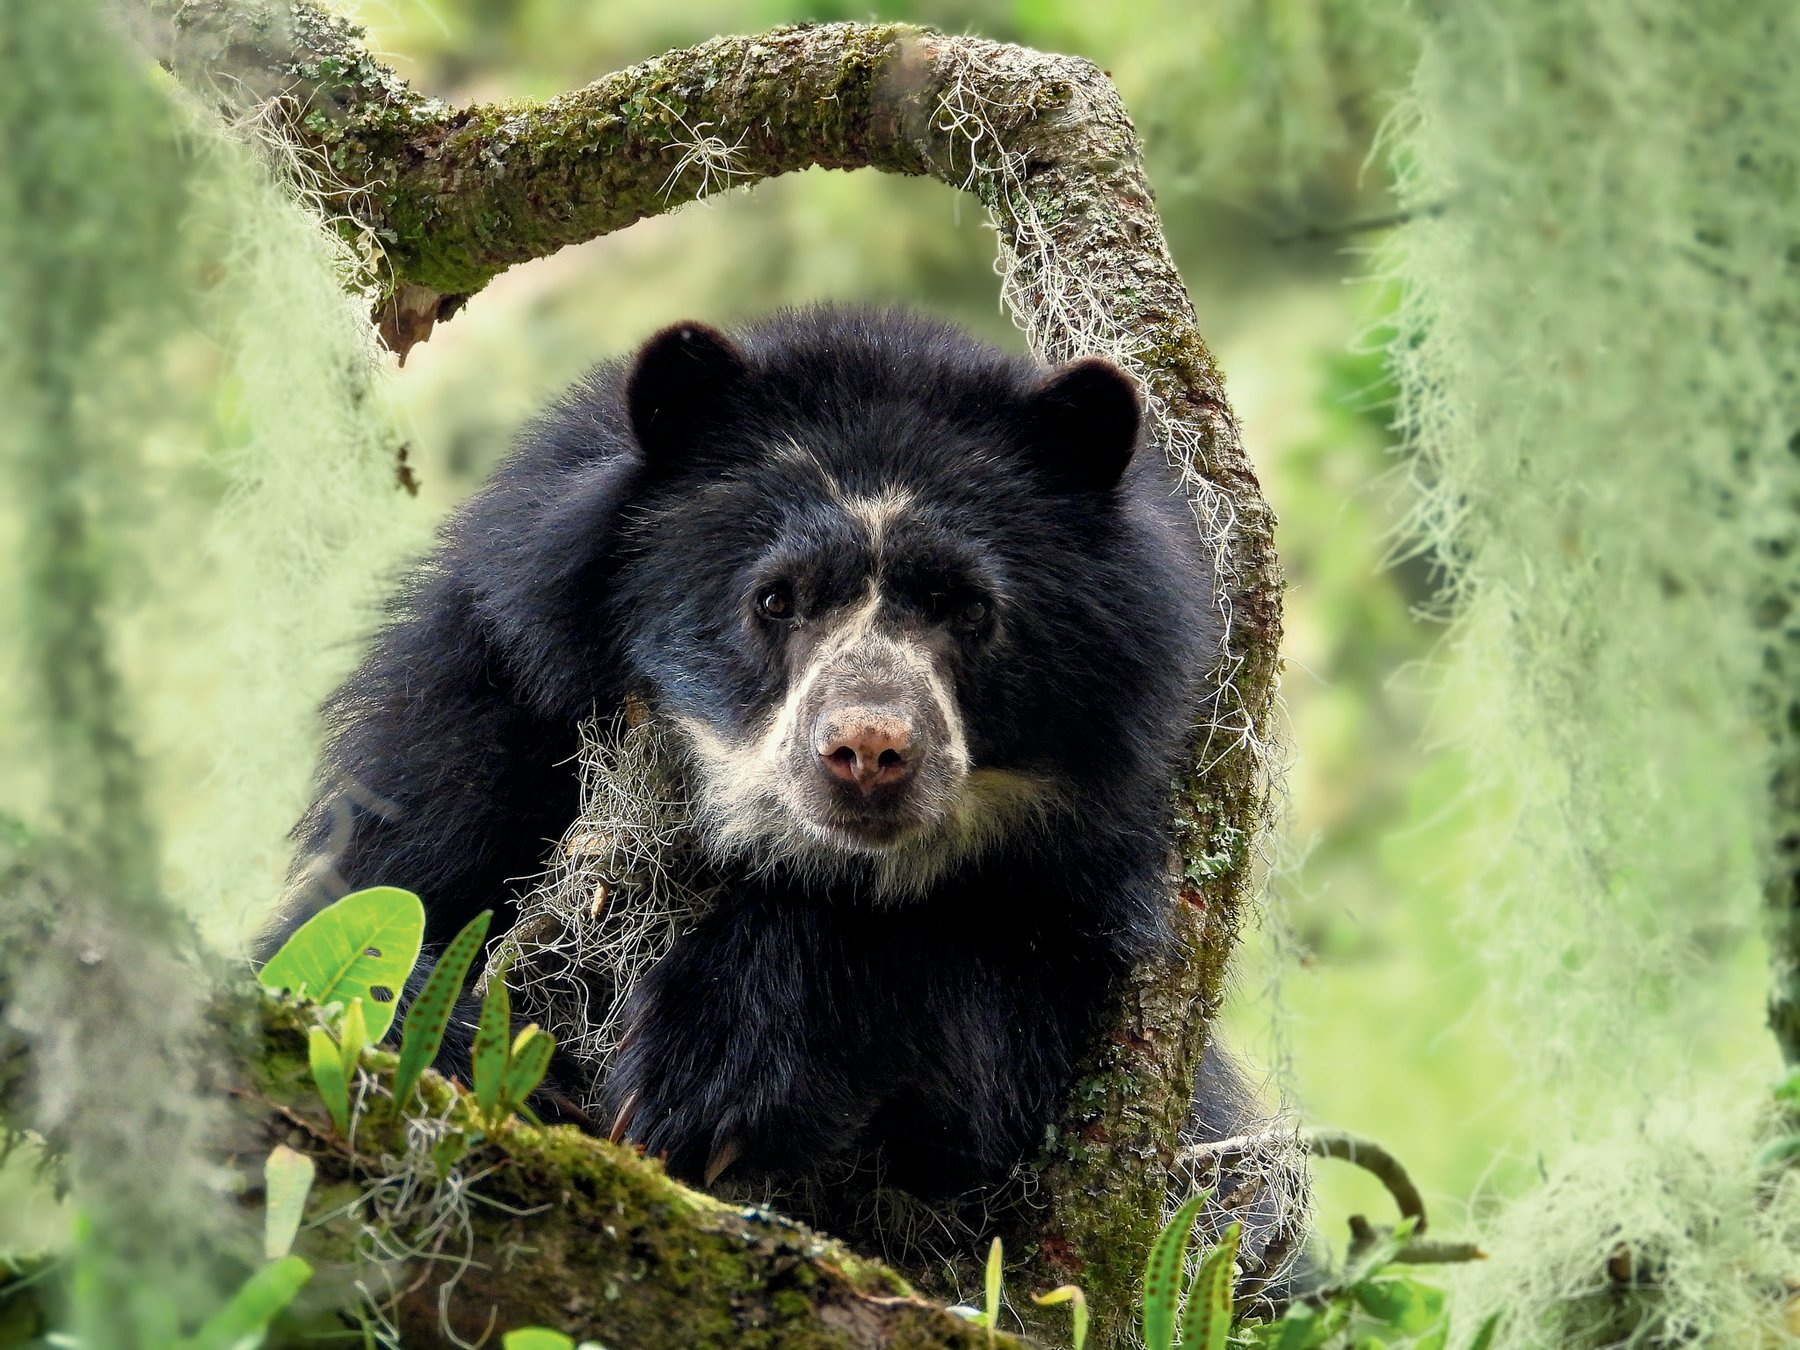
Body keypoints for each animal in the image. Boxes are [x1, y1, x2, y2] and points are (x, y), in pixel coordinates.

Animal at [269, 304, 1249, 1205]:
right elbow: (347, 920)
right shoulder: (472, 731)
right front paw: (507, 1059)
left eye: (968, 608)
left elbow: (1013, 1024)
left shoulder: (1091, 880)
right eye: (776, 599)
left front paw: (707, 1085)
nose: (868, 750)